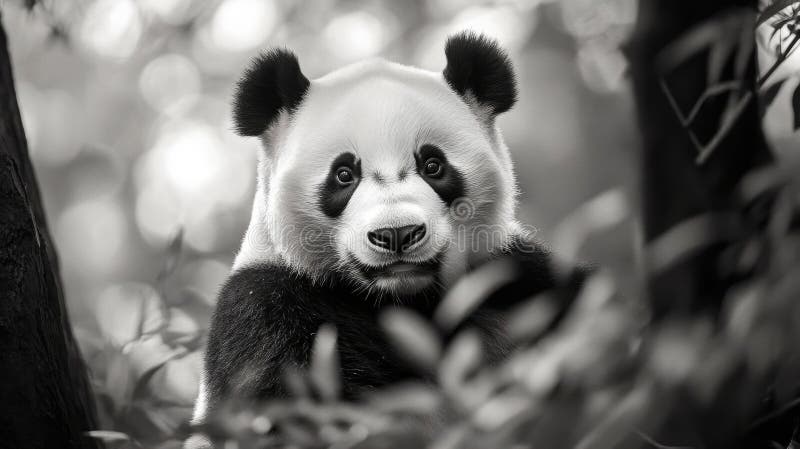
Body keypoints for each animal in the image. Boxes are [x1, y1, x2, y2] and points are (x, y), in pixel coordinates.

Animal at [190, 31, 587, 439]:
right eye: (344, 174)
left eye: (433, 165)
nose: (397, 234)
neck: (404, 300)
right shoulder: (268, 309)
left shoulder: (508, 278)